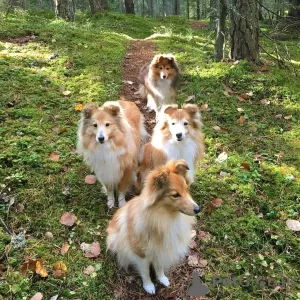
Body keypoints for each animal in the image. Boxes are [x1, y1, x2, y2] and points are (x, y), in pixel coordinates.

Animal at [106, 161, 200, 294]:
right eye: (175, 195)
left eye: (186, 190)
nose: (198, 209)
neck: (164, 217)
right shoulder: (141, 254)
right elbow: (145, 272)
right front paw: (149, 286)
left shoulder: (160, 249)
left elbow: (159, 267)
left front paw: (162, 279)